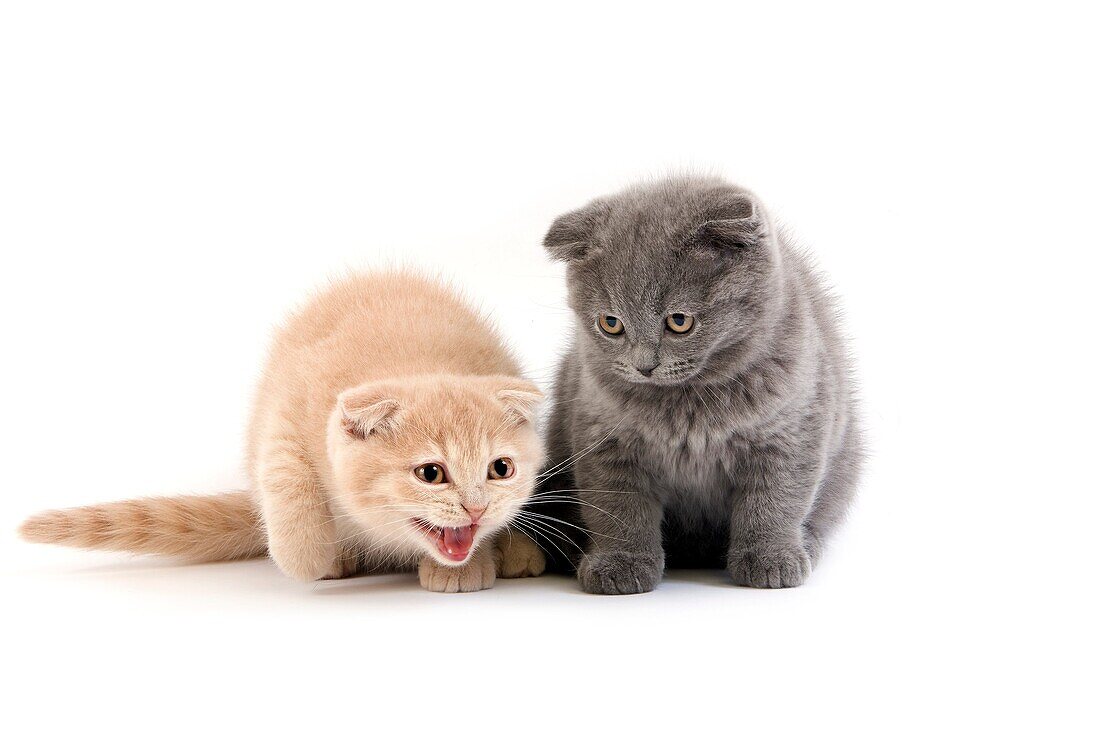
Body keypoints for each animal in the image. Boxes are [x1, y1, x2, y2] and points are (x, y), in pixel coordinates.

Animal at [17, 270, 545, 589]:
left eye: (500, 469)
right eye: (430, 474)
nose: (476, 507)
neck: (417, 360)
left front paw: (472, 561)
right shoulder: (289, 406)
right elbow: (287, 477)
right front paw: (310, 555)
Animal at [530, 173, 858, 589]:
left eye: (679, 321)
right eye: (611, 323)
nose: (644, 366)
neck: (687, 402)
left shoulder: (791, 430)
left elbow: (776, 498)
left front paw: (770, 558)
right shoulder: (604, 435)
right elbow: (618, 506)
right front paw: (621, 563)